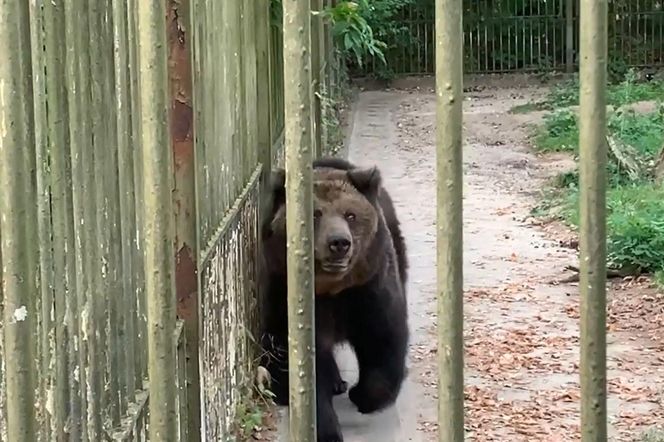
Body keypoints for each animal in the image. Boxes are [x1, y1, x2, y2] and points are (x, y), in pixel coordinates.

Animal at [258, 157, 404, 440]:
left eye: (350, 214)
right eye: (316, 214)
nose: (339, 243)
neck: (330, 289)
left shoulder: (368, 288)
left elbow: (383, 338)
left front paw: (363, 396)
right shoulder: (284, 294)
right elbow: (300, 366)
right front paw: (325, 429)